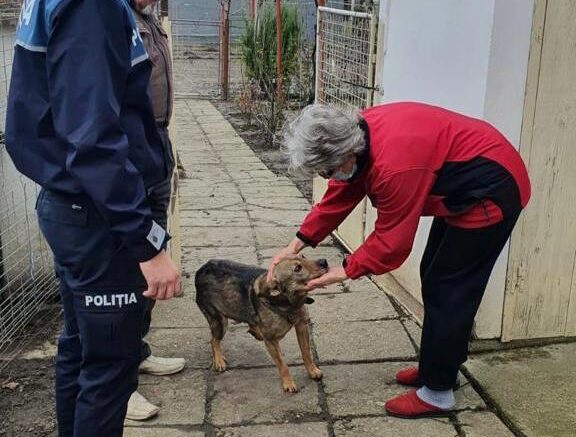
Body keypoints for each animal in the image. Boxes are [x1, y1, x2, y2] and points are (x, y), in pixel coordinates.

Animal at [195, 256, 328, 392]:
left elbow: (306, 353)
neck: (288, 303)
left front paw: (312, 371)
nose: (324, 261)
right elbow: (282, 364)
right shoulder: (270, 341)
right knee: (213, 341)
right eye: (297, 268)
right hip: (220, 321)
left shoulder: (301, 326)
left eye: (303, 256)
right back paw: (219, 361)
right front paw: (288, 383)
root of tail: (201, 270)